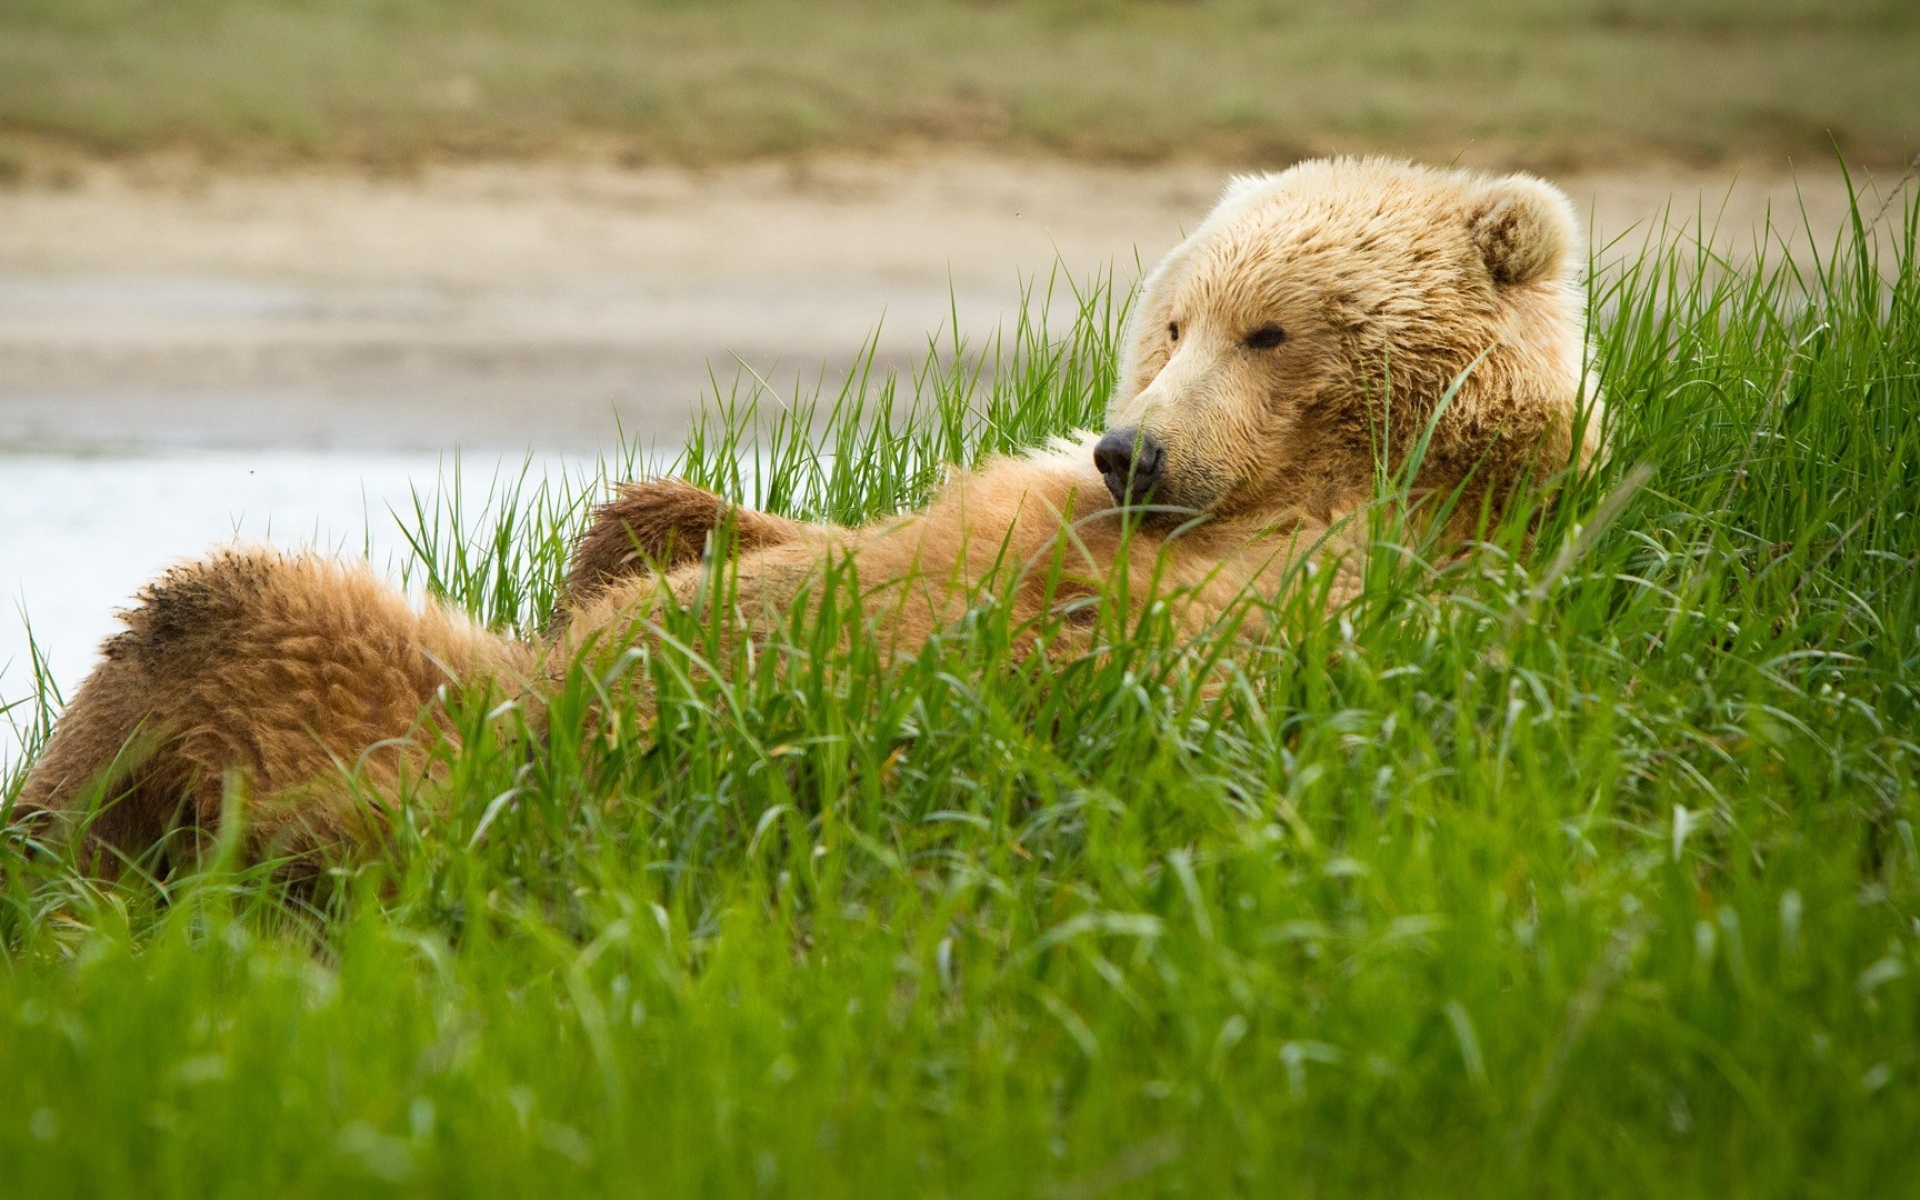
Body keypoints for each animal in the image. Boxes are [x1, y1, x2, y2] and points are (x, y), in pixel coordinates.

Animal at [15, 156, 1597, 871]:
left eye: (1272, 331)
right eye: (1173, 319)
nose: (1130, 452)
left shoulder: (1308, 590)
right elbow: (757, 537)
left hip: (420, 763)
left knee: (218, 610)